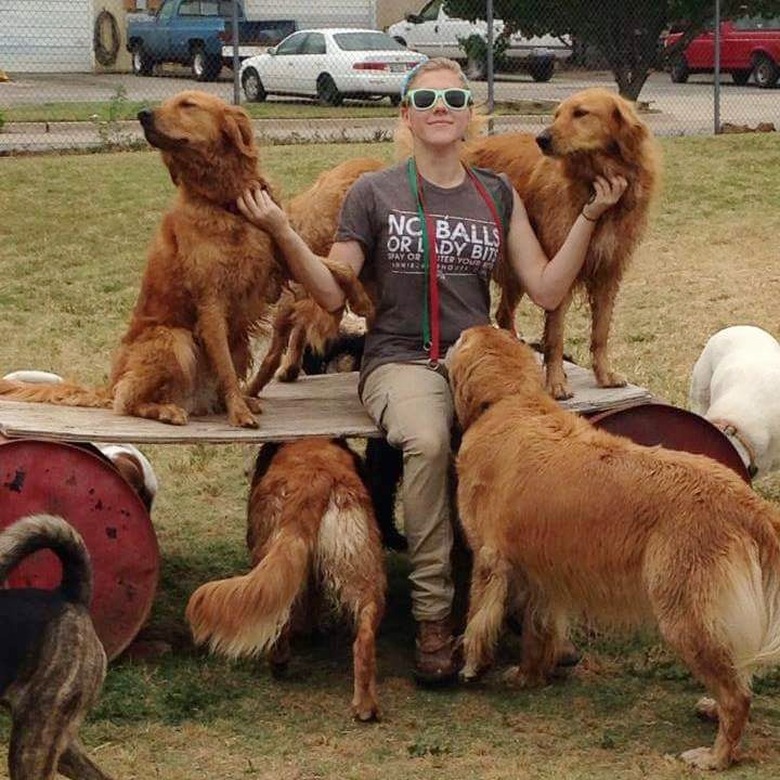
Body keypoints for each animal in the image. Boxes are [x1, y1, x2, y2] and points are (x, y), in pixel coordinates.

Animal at [186, 436, 386, 724]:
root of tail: (315, 479)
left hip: (270, 553)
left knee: (280, 618)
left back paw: (278, 662)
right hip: (360, 568)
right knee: (364, 639)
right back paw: (366, 707)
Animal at [464, 88, 660, 400]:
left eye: (580, 113)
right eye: (556, 114)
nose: (541, 139)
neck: (594, 179)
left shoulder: (608, 272)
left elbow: (600, 333)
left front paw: (604, 375)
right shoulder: (561, 270)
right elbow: (555, 335)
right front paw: (556, 382)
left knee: (504, 313)